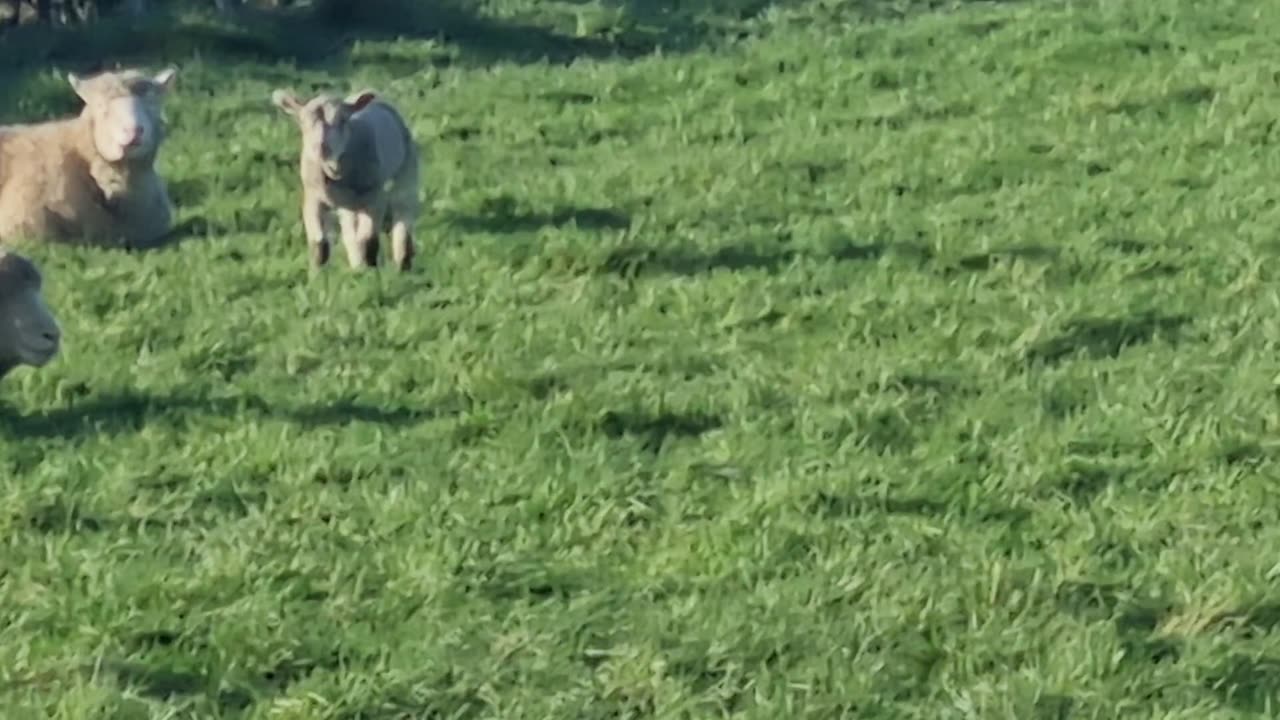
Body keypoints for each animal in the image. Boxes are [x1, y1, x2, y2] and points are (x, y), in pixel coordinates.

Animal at [268, 87, 419, 270]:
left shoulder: (374, 198)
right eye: (303, 122)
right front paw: (316, 273)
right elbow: (319, 243)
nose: (322, 148)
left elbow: (368, 240)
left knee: (403, 217)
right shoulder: (313, 199)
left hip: (406, 173)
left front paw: (371, 272)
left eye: (343, 120)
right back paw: (357, 265)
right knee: (350, 231)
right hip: (348, 206)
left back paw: (402, 263)